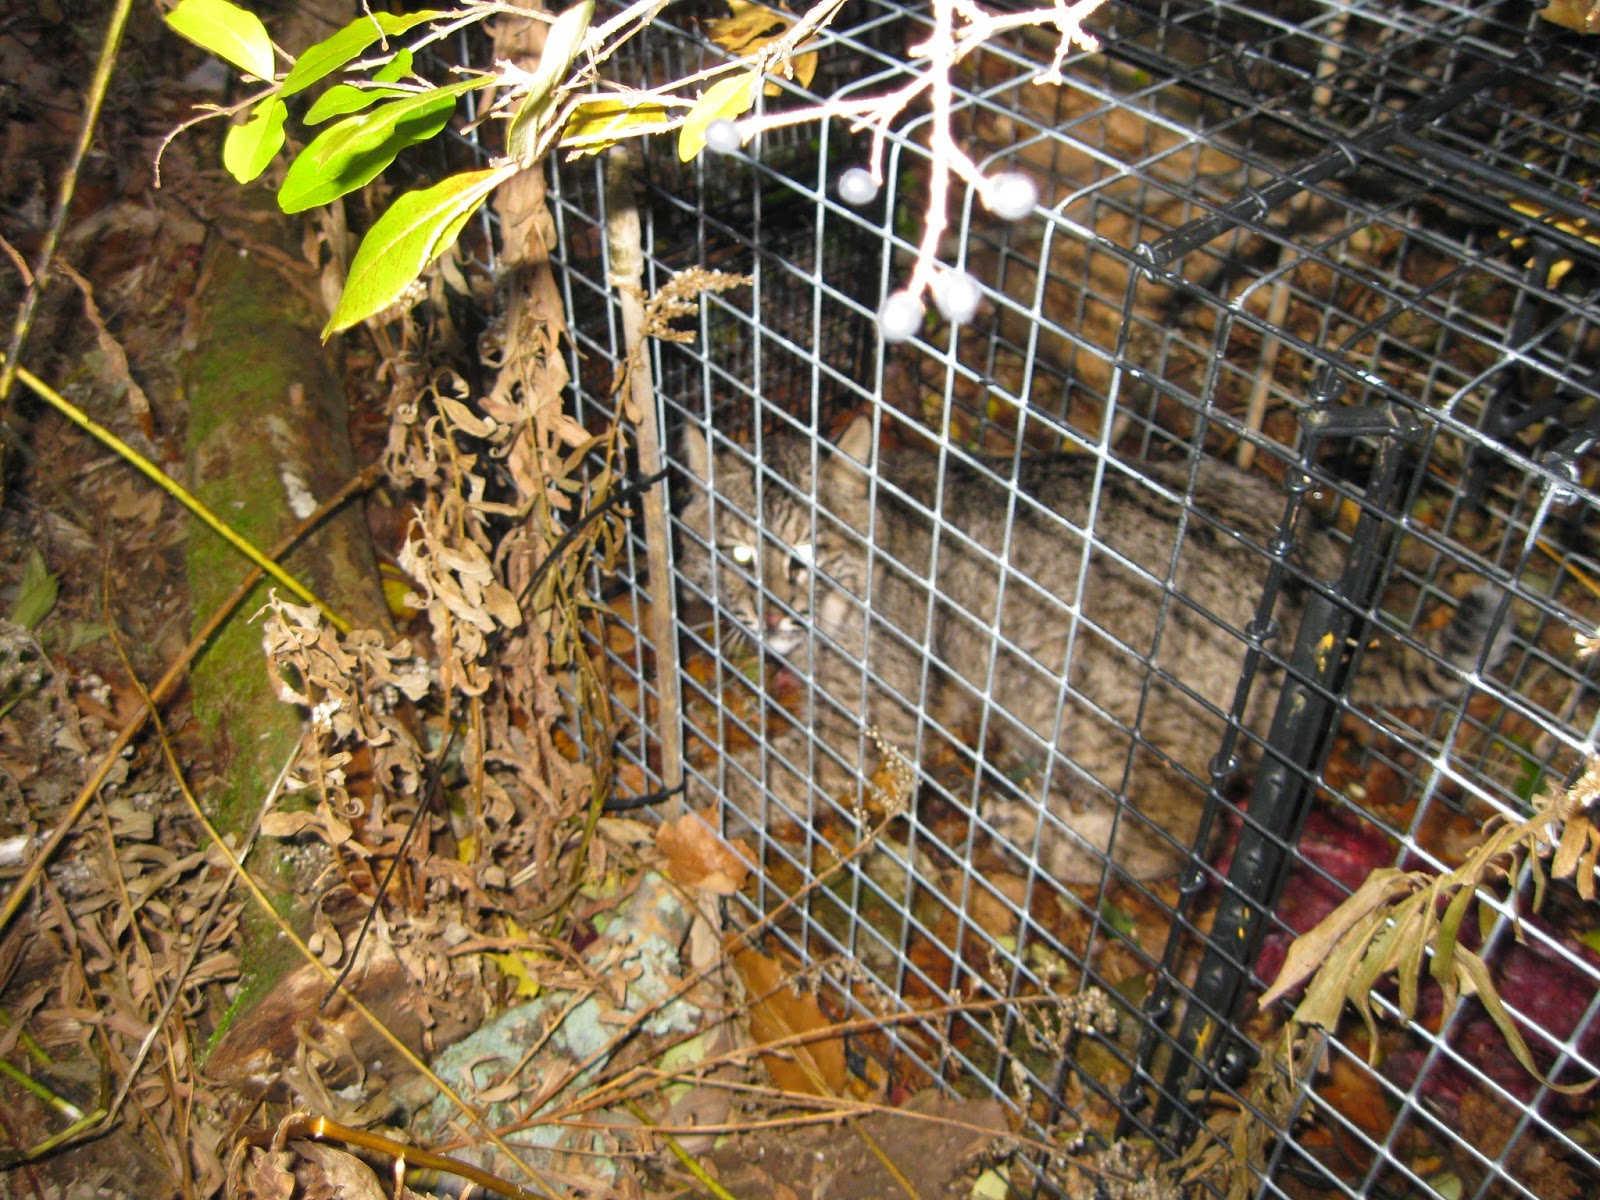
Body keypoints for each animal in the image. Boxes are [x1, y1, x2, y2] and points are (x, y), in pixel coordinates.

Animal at [678, 419, 1510, 883]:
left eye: (805, 558)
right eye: (738, 556)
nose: (771, 617)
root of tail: (1314, 576)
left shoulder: (880, 720)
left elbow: (773, 769)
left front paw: (692, 803)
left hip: (1063, 690)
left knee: (1176, 836)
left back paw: (1034, 839)